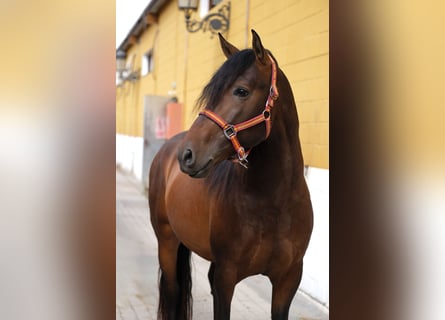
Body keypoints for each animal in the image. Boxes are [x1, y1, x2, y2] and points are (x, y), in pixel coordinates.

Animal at [149, 30, 312, 320]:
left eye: (241, 91)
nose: (187, 155)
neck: (274, 204)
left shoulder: (289, 280)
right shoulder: (226, 277)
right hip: (166, 241)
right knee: (172, 290)